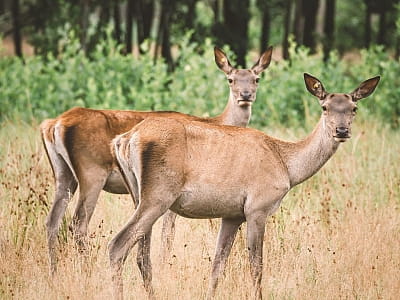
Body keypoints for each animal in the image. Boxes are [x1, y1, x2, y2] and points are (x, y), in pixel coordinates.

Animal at [39, 46, 272, 274]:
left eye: (256, 78)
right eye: (230, 79)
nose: (246, 95)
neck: (216, 122)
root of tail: (53, 124)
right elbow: (168, 232)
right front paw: (164, 264)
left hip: (64, 174)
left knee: (52, 221)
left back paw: (54, 271)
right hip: (92, 172)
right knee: (78, 223)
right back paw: (86, 270)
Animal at [109, 73, 382, 300]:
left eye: (354, 108)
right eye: (325, 107)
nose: (342, 130)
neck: (287, 167)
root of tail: (125, 139)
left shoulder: (232, 214)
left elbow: (218, 265)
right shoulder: (258, 207)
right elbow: (256, 266)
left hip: (137, 193)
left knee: (142, 255)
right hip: (159, 193)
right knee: (118, 245)